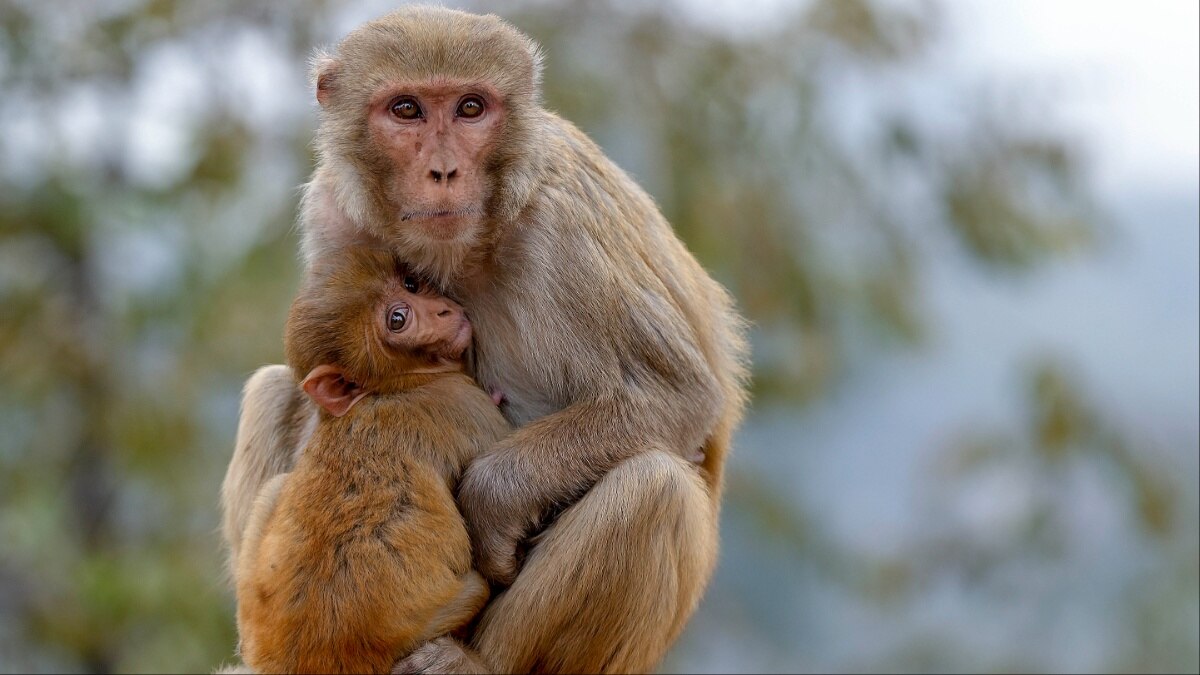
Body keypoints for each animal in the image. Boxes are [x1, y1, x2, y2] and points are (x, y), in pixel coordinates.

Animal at [235, 249, 511, 667]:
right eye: (398, 320)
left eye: (412, 285)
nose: (442, 311)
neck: (392, 388)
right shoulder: (464, 404)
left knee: (276, 488)